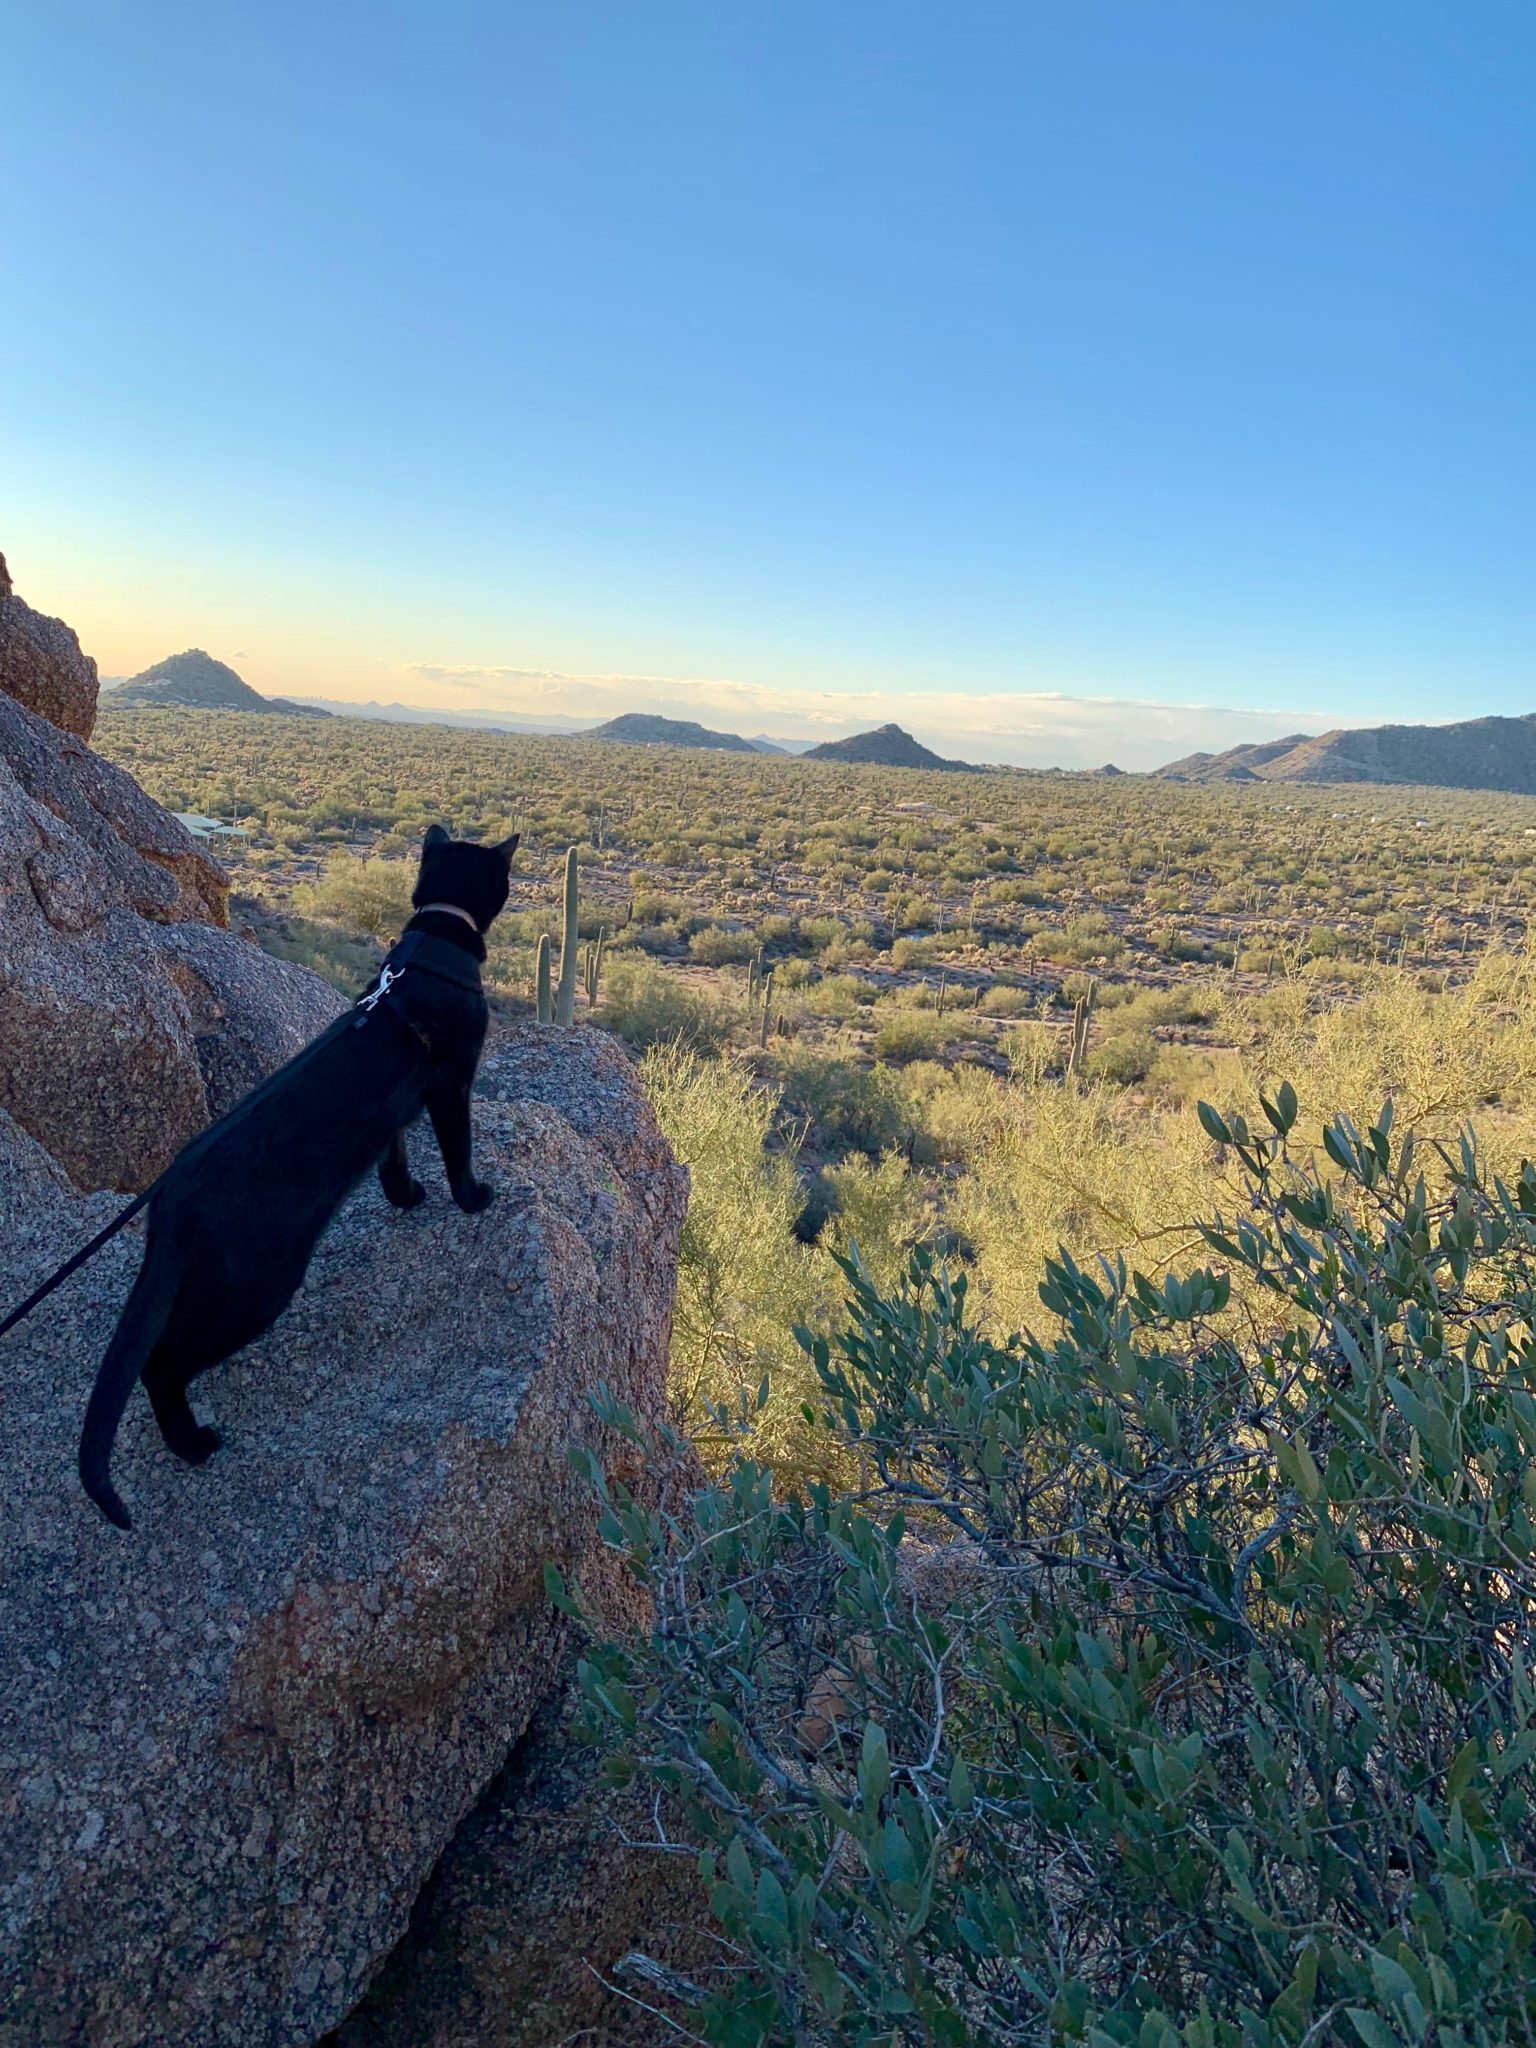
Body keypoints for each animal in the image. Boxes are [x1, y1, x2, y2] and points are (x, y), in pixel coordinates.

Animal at [75, 823, 520, 1531]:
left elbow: (394, 1157)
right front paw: (474, 1198)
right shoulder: (451, 1086)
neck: (436, 940)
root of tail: (169, 1196)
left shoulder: (394, 1110)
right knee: (160, 1365)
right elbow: (458, 1151)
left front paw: (406, 1197)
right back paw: (193, 1445)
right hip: (259, 1287)